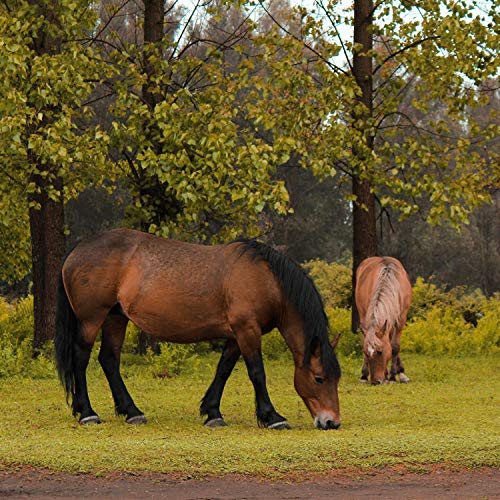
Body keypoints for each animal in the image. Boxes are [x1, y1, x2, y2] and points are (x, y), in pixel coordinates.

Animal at [55, 230, 344, 430]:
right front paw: (272, 416)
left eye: (337, 378)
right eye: (318, 378)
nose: (332, 422)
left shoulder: (236, 335)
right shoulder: (247, 329)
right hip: (92, 319)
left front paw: (212, 412)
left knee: (109, 360)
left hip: (115, 318)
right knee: (81, 358)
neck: (267, 280)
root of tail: (77, 250)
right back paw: (87, 413)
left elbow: (223, 370)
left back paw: (132, 411)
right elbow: (257, 373)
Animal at [354, 256, 412, 384]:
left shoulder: (400, 319)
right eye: (366, 352)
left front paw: (392, 376)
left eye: (380, 352)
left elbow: (394, 347)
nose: (375, 382)